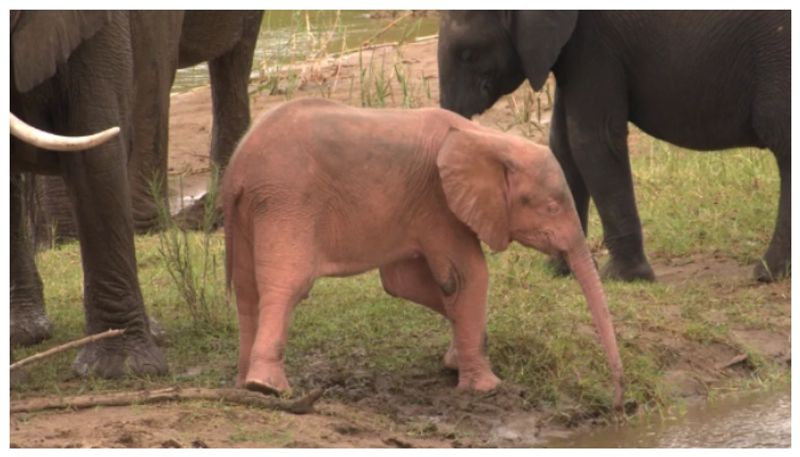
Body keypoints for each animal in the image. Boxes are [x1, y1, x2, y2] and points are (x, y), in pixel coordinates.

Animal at [438, 10, 792, 282]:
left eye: (468, 54)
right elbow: (562, 144)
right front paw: (562, 271)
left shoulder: (595, 41)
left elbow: (591, 139)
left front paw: (622, 277)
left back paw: (766, 274)